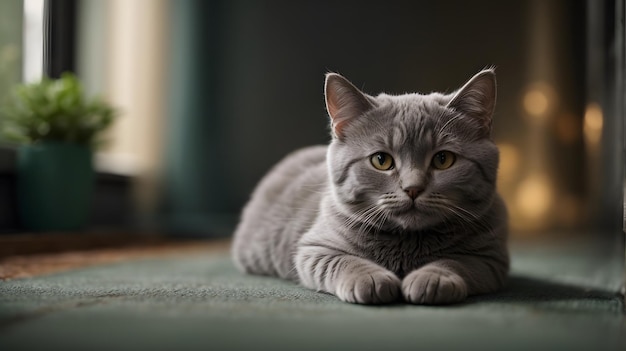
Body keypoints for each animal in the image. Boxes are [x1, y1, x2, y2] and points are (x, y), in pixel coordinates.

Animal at [229, 69, 508, 306]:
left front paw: (432, 278)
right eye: (381, 160)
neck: (406, 244)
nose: (413, 188)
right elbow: (343, 261)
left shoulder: (491, 258)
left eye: (443, 159)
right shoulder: (313, 248)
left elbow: (456, 262)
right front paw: (371, 279)